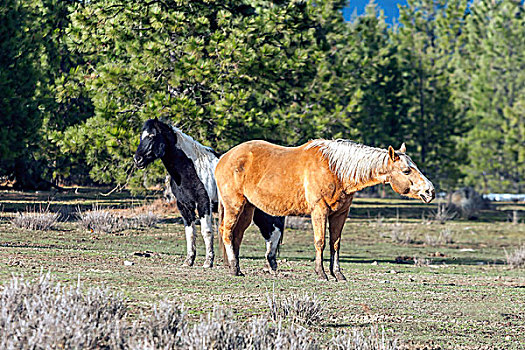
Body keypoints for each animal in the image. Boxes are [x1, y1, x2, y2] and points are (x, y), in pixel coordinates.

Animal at [133, 119, 284, 270]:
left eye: (152, 136)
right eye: (141, 136)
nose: (137, 159)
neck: (191, 169)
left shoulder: (204, 203)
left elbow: (206, 232)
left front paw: (208, 262)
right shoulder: (184, 206)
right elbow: (190, 233)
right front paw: (188, 261)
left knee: (273, 231)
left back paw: (270, 264)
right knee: (270, 233)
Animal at [215, 139, 436, 278]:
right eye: (406, 170)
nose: (430, 191)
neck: (335, 169)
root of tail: (224, 158)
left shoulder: (340, 214)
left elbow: (335, 244)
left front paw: (337, 273)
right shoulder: (319, 211)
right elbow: (320, 241)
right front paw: (321, 273)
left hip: (247, 209)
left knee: (236, 235)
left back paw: (236, 268)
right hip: (234, 206)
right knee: (227, 233)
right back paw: (233, 268)